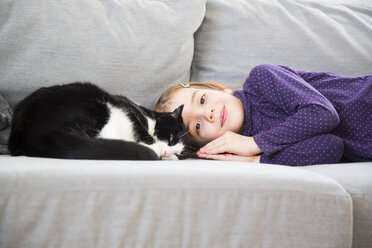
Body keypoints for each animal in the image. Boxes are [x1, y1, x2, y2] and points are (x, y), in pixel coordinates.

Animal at [8, 83, 192, 161]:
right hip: (102, 109)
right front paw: (154, 146)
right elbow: (141, 129)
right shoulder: (127, 108)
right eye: (171, 138)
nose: (167, 153)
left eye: (177, 153)